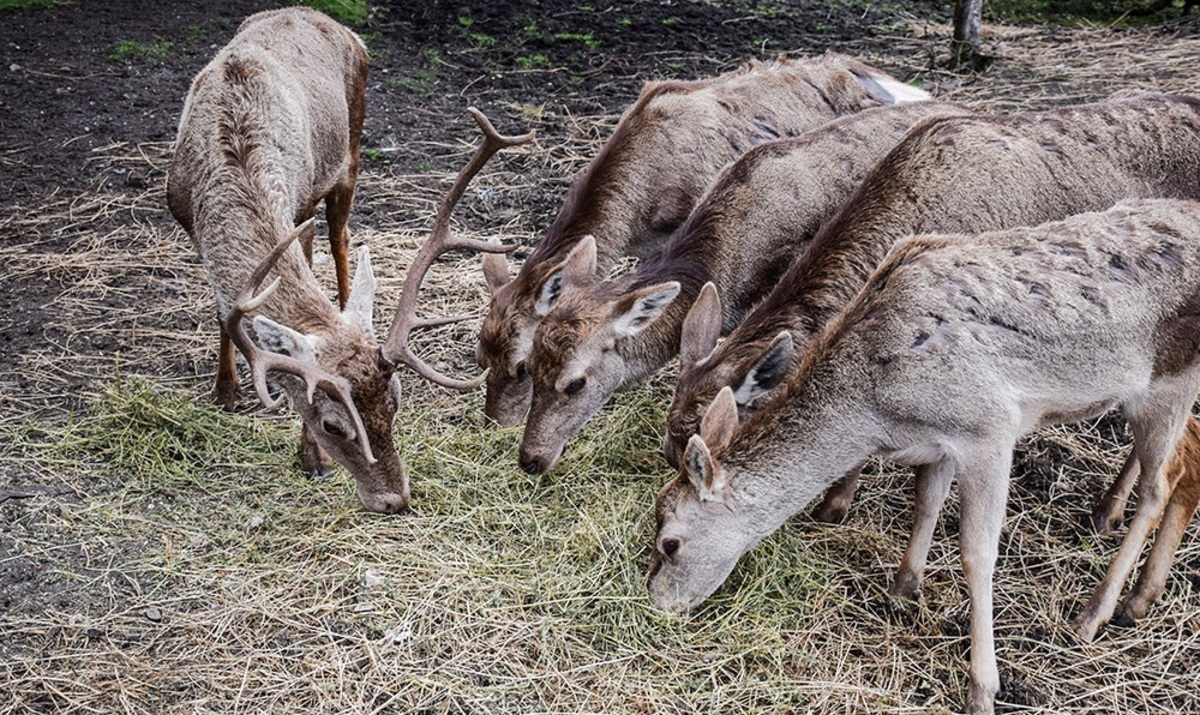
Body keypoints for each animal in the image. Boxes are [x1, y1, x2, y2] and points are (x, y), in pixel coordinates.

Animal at [166, 8, 532, 515]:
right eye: (334, 425)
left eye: (395, 403)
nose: (396, 499)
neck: (232, 151)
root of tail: (314, 14)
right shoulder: (185, 219)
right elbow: (224, 310)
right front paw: (226, 392)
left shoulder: (299, 204)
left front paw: (311, 459)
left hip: (348, 151)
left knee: (340, 238)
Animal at [652, 199, 1200, 715]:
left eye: (669, 543)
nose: (657, 605)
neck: (878, 407)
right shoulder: (940, 442)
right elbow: (926, 503)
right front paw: (903, 588)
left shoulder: (989, 427)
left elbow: (976, 553)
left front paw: (983, 688)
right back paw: (1135, 593)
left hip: (1169, 382)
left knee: (1163, 480)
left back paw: (1094, 613)